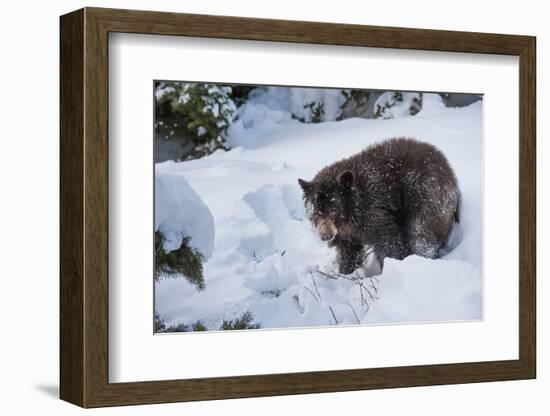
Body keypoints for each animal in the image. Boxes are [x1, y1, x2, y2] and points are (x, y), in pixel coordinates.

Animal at [300, 138, 464, 276]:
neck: (351, 212)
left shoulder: (375, 212)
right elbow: (349, 250)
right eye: (316, 212)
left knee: (420, 234)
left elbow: (388, 242)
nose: (325, 236)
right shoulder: (346, 233)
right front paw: (345, 271)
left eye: (333, 210)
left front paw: (390, 268)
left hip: (426, 197)